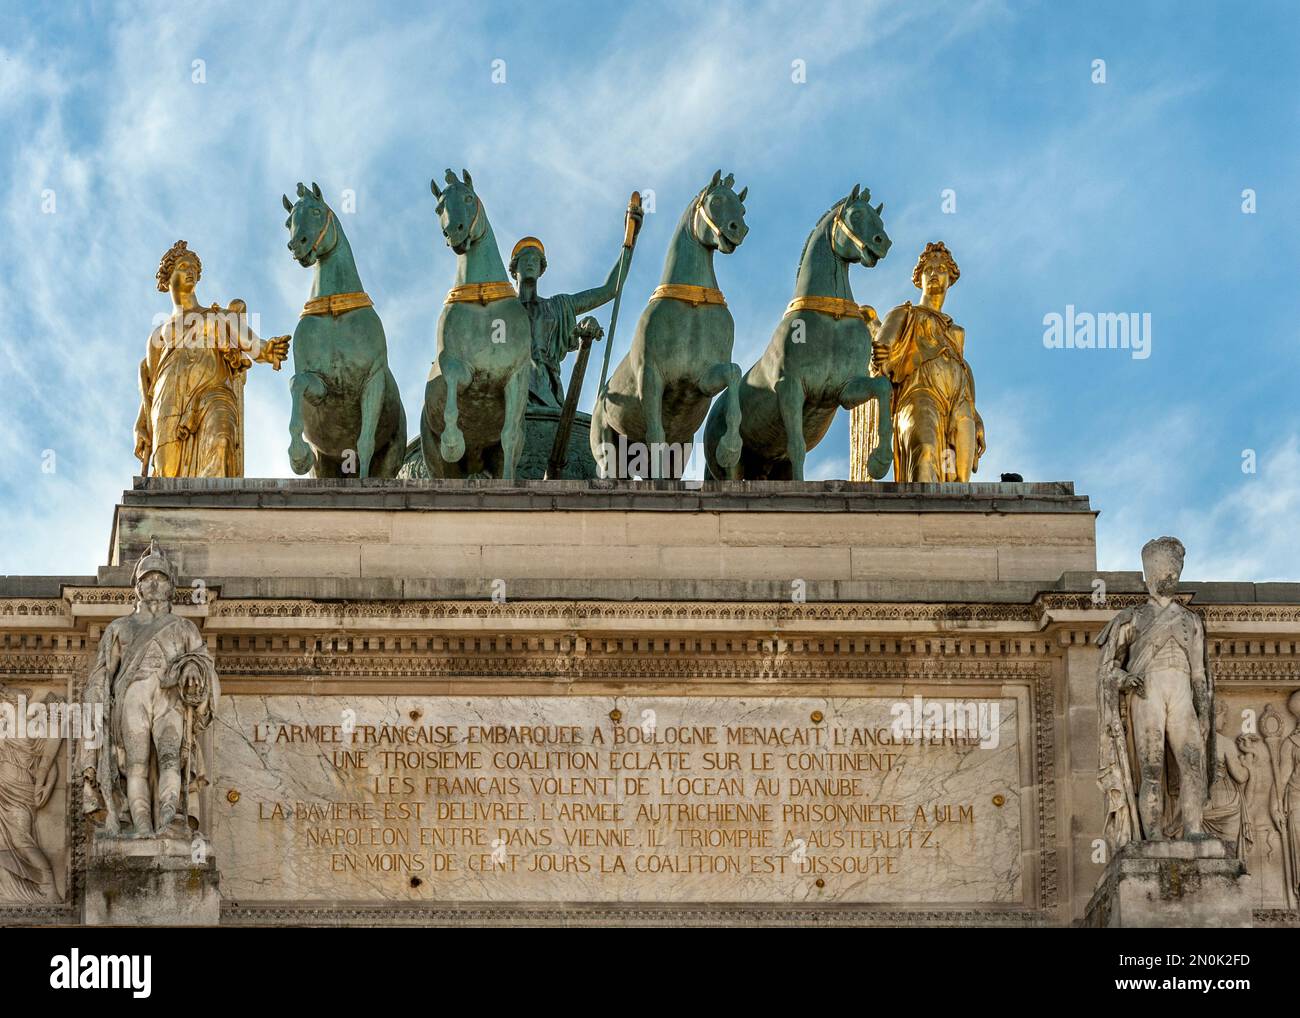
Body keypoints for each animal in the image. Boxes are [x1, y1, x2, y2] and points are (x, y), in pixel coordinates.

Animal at [284, 182, 405, 478]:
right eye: (287, 222)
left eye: (316, 211)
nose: (297, 245)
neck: (334, 313)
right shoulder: (318, 385)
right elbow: (296, 382)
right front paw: (298, 456)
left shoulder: (373, 380)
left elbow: (364, 443)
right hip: (325, 467)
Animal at [421, 169, 533, 481]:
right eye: (438, 208)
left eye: (469, 197)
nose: (455, 232)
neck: (484, 300)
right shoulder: (455, 365)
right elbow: (451, 398)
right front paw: (452, 442)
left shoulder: (516, 376)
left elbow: (508, 436)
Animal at [587, 169, 748, 481]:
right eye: (716, 200)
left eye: (743, 208)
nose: (739, 230)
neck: (691, 304)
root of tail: (601, 395)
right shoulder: (650, 377)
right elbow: (656, 434)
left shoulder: (702, 379)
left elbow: (734, 372)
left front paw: (729, 449)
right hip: (606, 449)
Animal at [702, 184, 894, 481]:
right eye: (857, 214)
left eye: (878, 217)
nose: (882, 242)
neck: (831, 321)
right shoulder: (790, 387)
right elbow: (797, 446)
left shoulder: (845, 390)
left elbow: (883, 387)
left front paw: (878, 462)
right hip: (730, 465)